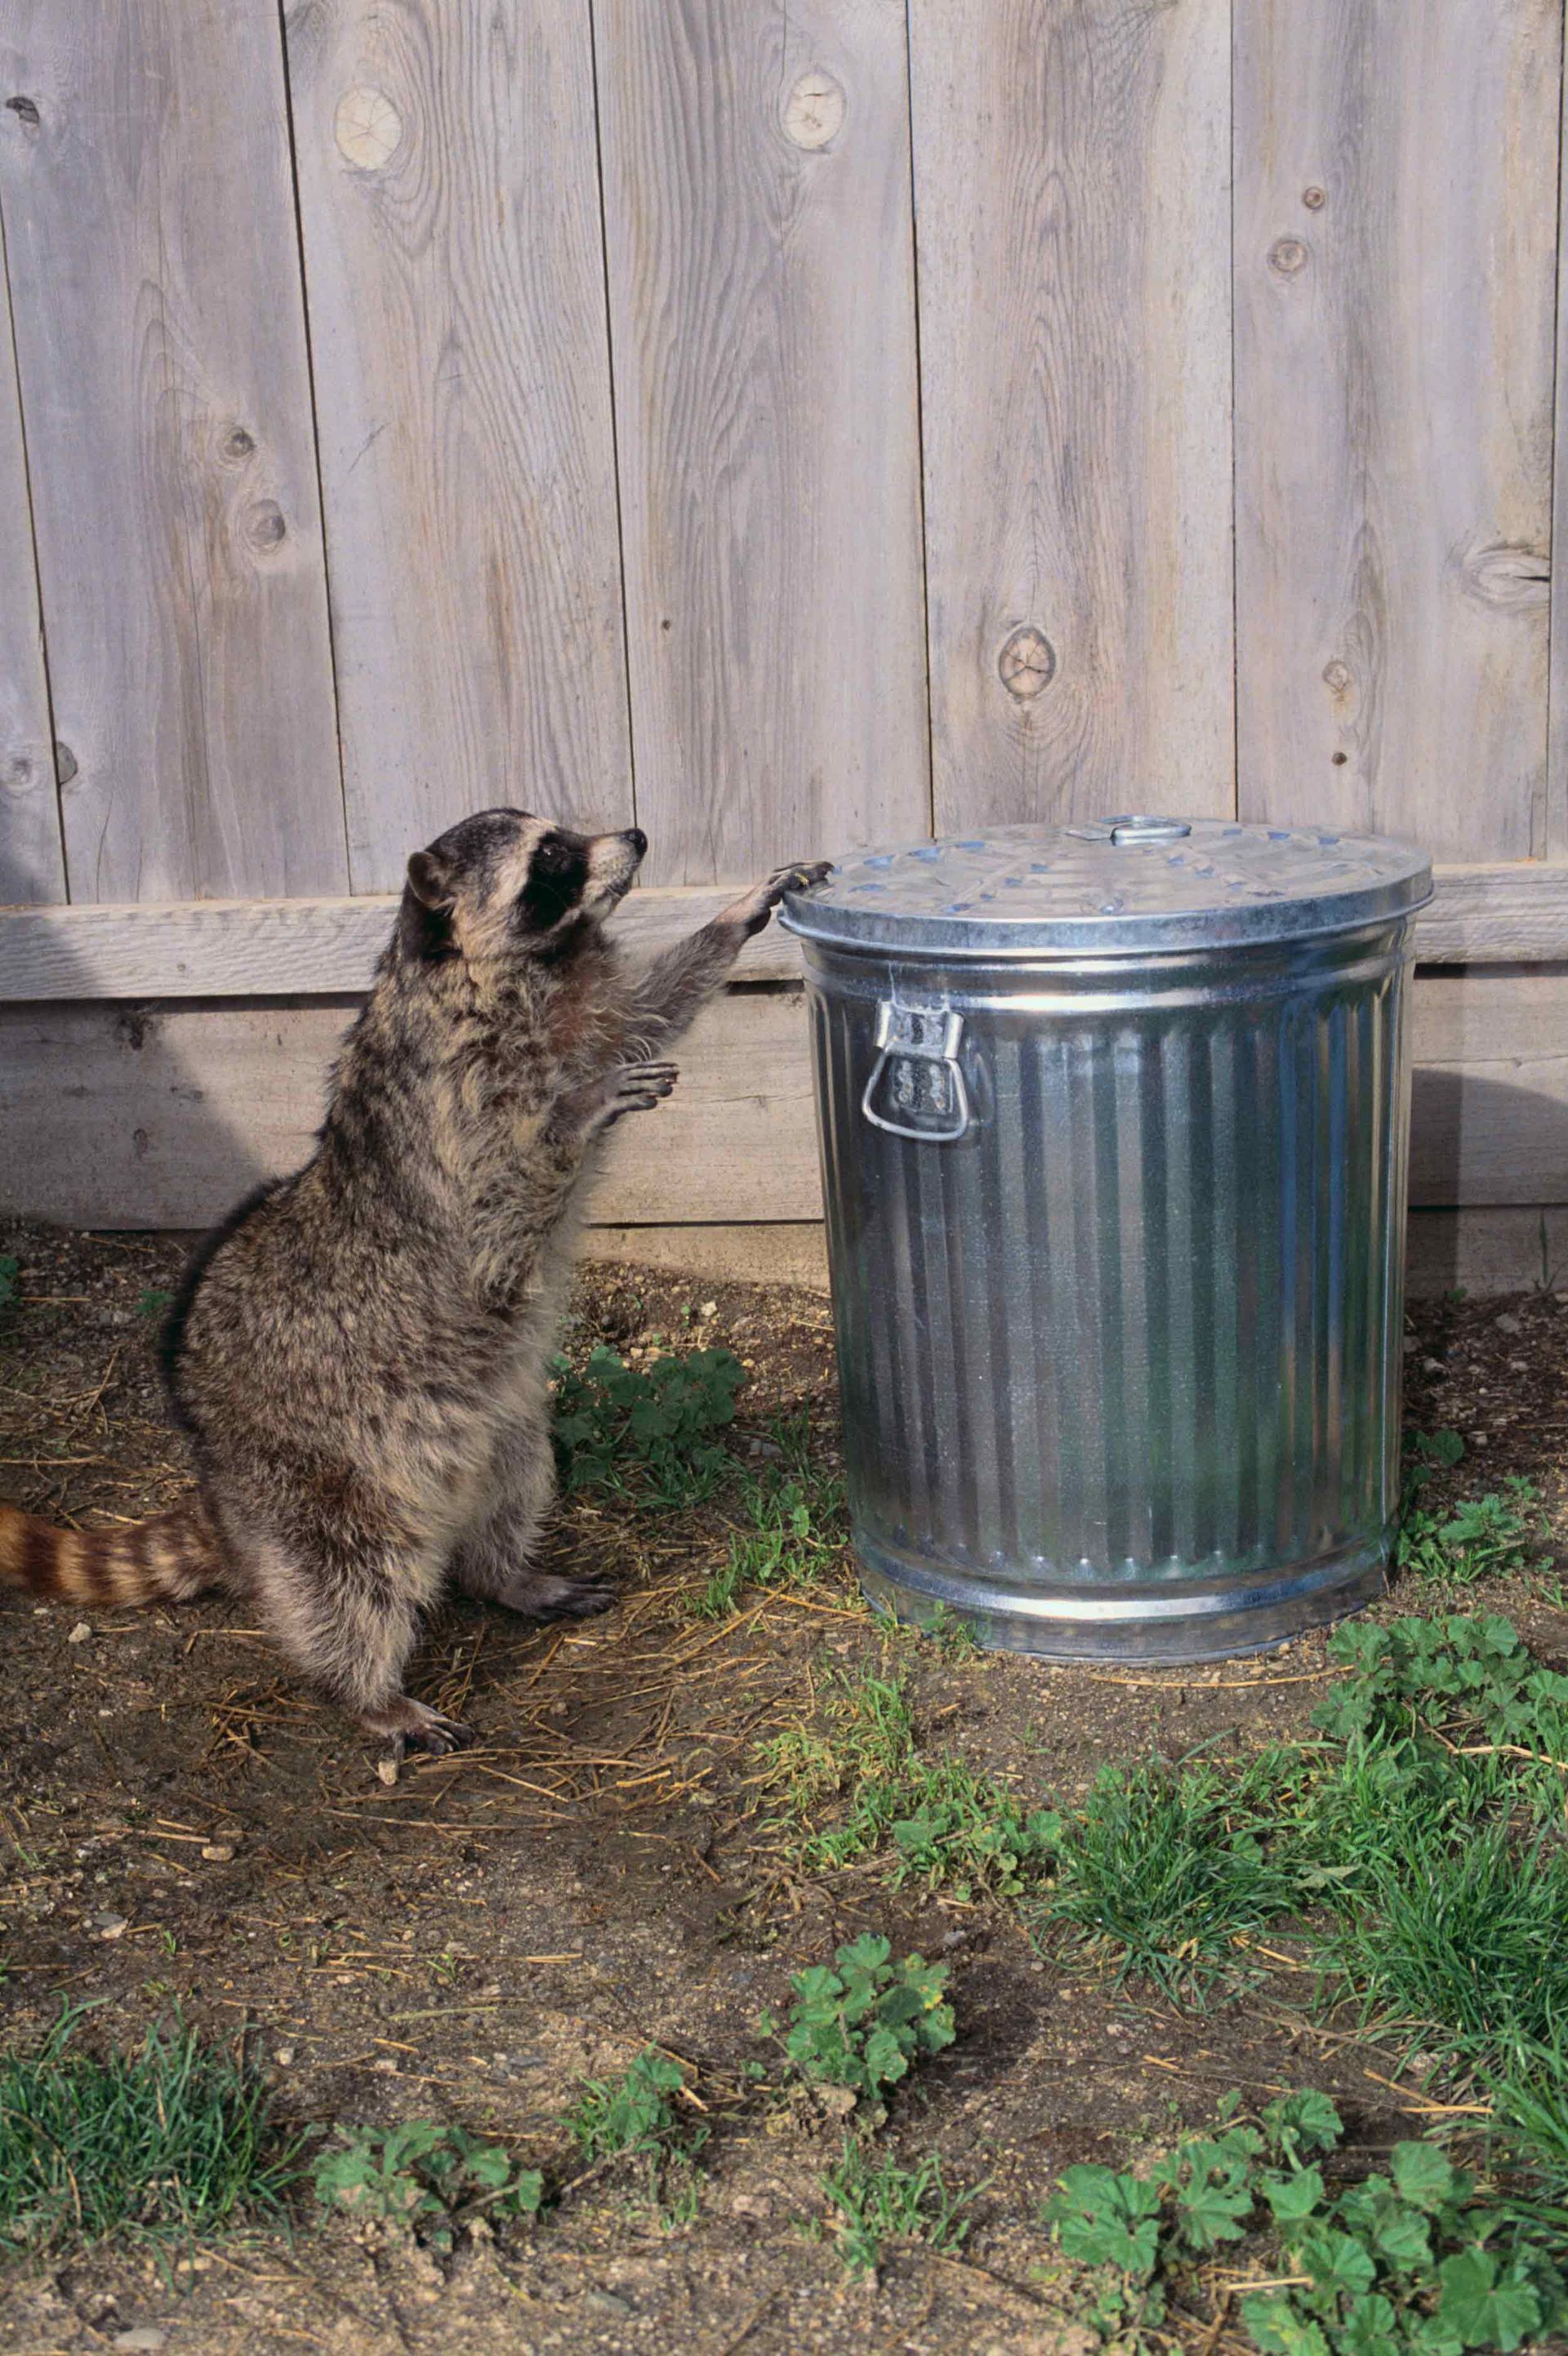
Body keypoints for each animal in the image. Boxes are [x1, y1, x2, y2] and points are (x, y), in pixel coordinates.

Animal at [0, 812, 830, 1758]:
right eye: (551, 856)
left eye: (564, 833)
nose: (637, 835)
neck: (522, 965)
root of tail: (221, 1491)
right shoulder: (455, 1102)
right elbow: (497, 1205)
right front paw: (574, 1111)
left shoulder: (584, 1012)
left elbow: (652, 1007)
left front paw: (735, 918)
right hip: (315, 1470)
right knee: (349, 1578)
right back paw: (367, 1689)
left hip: (495, 1423)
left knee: (513, 1478)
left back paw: (503, 1572)